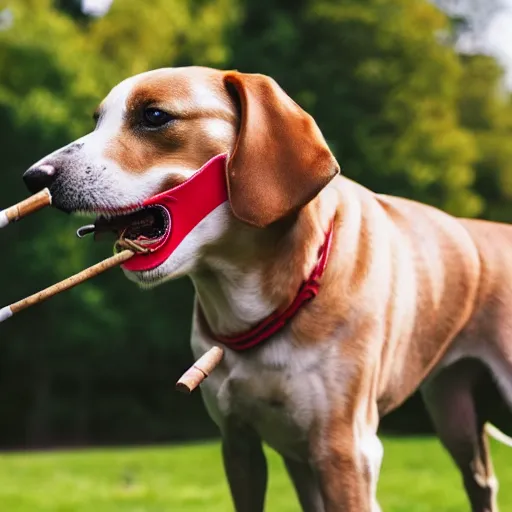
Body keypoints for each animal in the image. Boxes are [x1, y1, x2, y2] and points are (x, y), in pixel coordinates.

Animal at [22, 66, 512, 510]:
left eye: (154, 116)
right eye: (96, 120)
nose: (36, 176)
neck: (251, 304)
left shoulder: (344, 451)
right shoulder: (240, 443)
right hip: (453, 413)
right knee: (481, 480)